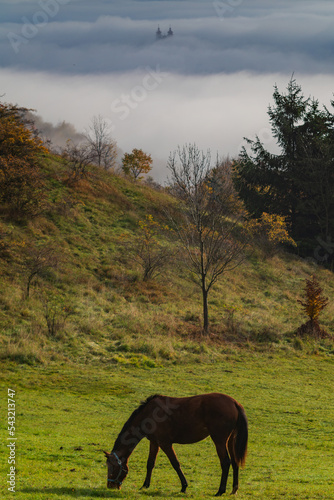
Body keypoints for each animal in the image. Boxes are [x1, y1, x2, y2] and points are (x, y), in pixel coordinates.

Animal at [104, 394, 248, 496]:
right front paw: (145, 485)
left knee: (225, 462)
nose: (110, 486)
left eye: (111, 467)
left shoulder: (165, 443)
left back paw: (220, 490)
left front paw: (184, 486)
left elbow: (175, 463)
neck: (149, 413)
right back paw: (234, 489)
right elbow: (150, 463)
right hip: (230, 440)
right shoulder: (154, 442)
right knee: (235, 462)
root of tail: (234, 402)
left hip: (219, 440)